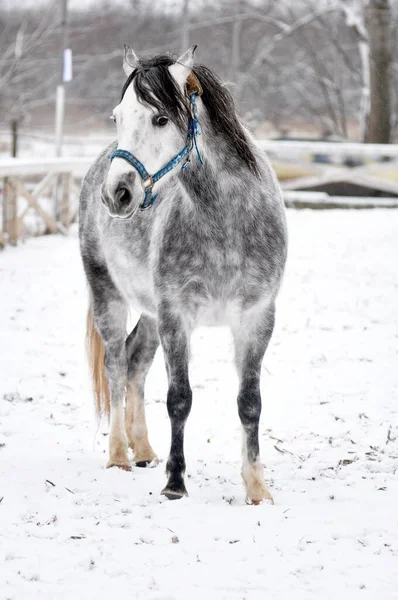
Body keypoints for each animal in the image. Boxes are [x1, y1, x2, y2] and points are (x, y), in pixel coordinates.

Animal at [80, 45, 286, 502]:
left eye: (160, 118)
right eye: (117, 116)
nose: (116, 194)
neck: (226, 224)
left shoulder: (257, 318)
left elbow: (251, 402)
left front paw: (257, 487)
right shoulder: (177, 316)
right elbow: (179, 398)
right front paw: (175, 482)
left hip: (150, 313)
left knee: (136, 362)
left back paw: (142, 449)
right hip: (109, 297)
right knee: (117, 367)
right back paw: (119, 454)